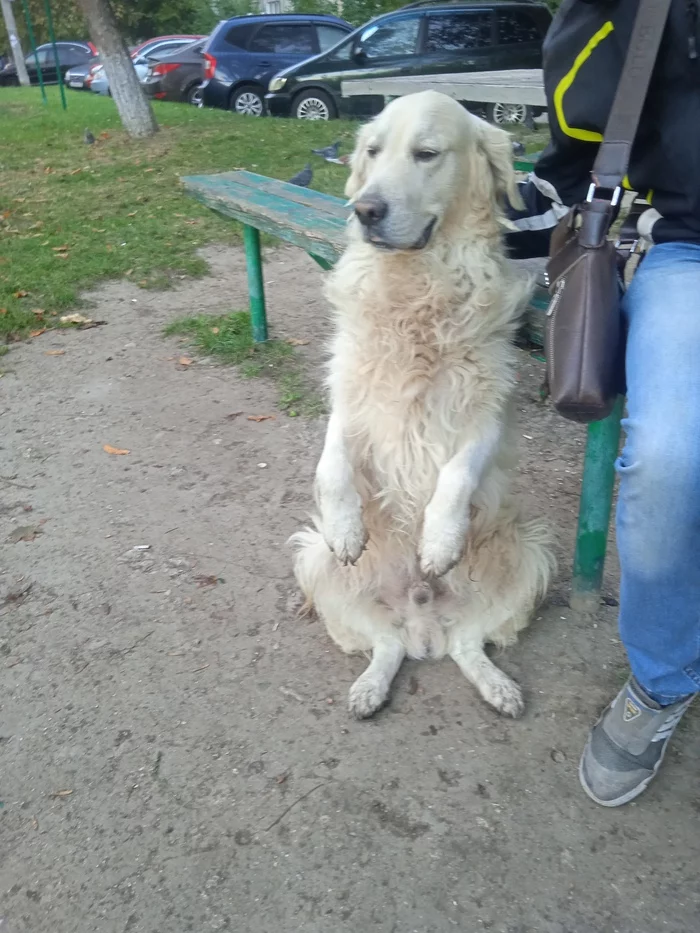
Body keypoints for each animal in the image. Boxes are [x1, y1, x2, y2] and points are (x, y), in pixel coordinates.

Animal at [290, 91, 552, 720]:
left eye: (427, 154)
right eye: (371, 151)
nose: (366, 209)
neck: (417, 291)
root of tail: (423, 624)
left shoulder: (487, 411)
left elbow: (455, 477)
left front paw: (438, 541)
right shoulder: (350, 400)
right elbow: (331, 464)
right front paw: (347, 528)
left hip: (530, 553)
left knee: (469, 642)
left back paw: (498, 688)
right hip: (314, 562)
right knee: (384, 645)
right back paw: (368, 690)